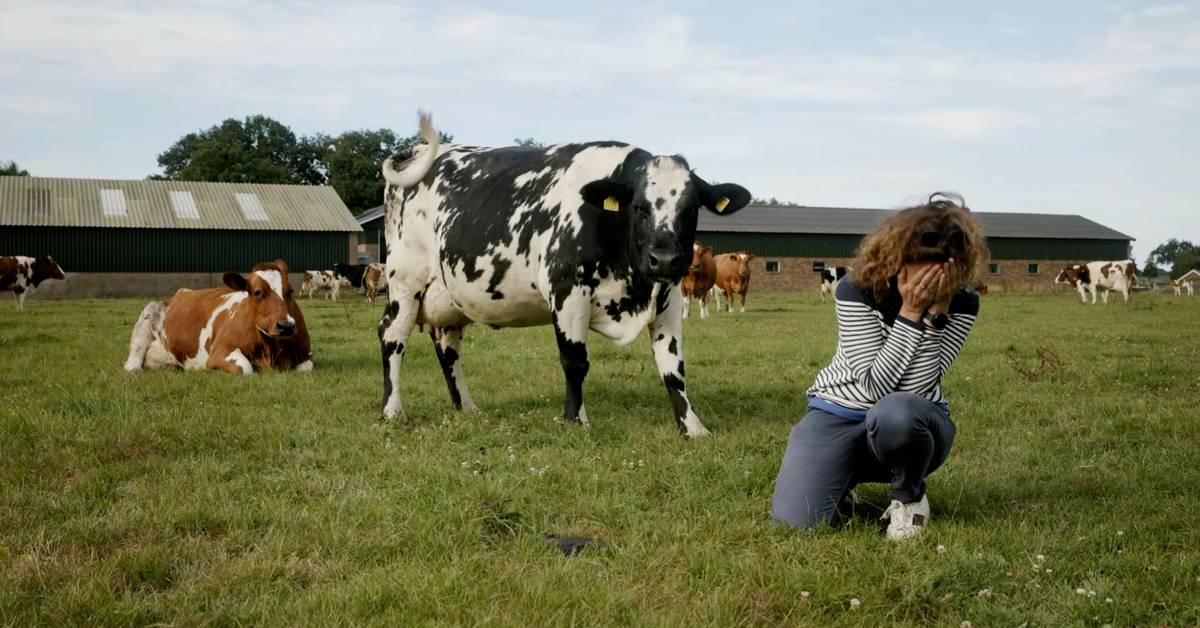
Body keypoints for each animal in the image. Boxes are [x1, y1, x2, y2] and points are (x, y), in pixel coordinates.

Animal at [124, 260, 313, 374]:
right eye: (257, 292)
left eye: (290, 291)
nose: (286, 326)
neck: (269, 348)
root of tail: (179, 293)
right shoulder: (220, 352)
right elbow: (245, 368)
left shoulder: (306, 355)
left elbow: (305, 367)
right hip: (147, 314)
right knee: (135, 354)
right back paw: (133, 368)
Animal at [376, 112, 751, 437]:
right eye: (639, 208)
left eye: (691, 209)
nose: (665, 259)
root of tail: (418, 152)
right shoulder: (567, 290)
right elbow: (575, 361)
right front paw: (576, 420)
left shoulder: (668, 296)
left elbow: (673, 368)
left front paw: (693, 427)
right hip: (405, 281)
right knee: (392, 335)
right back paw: (393, 410)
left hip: (450, 295)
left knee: (447, 346)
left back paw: (466, 407)